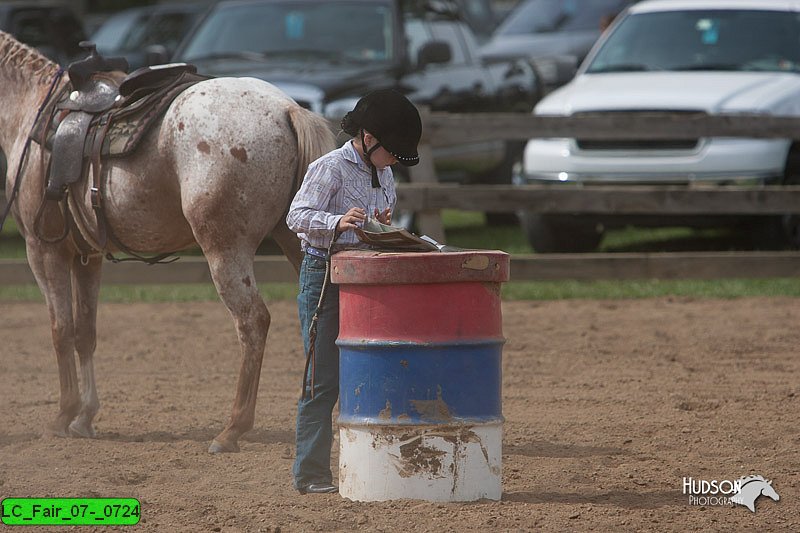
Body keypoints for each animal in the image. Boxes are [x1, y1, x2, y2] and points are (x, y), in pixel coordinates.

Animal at [0, 30, 336, 454]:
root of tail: (286, 109)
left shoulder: (44, 250)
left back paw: (232, 429)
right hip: (298, 242)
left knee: (253, 322)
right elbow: (84, 331)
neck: (28, 107)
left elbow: (60, 331)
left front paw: (64, 416)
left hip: (226, 250)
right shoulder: (87, 257)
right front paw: (85, 417)